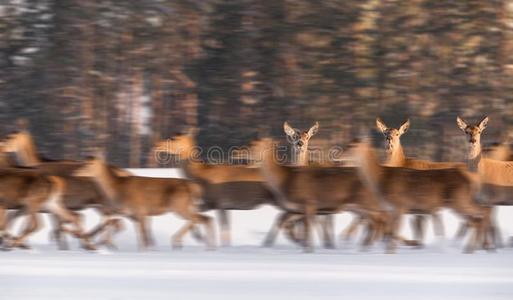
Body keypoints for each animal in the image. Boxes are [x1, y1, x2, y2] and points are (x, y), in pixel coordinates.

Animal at [73, 157, 214, 251]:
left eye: (88, 164)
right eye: (82, 162)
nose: (75, 173)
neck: (117, 189)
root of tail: (195, 187)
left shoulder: (139, 209)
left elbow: (141, 232)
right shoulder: (131, 212)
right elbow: (137, 231)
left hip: (179, 205)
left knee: (199, 219)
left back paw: (179, 242)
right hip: (187, 206)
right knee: (206, 218)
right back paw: (209, 245)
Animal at [344, 138, 488, 253]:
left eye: (353, 145)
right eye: (349, 143)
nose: (340, 153)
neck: (382, 179)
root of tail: (472, 180)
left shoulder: (400, 204)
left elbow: (395, 229)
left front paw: (390, 252)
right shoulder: (394, 208)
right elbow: (391, 229)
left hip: (458, 199)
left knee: (480, 213)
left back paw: (472, 248)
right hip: (460, 200)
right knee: (477, 216)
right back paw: (471, 248)